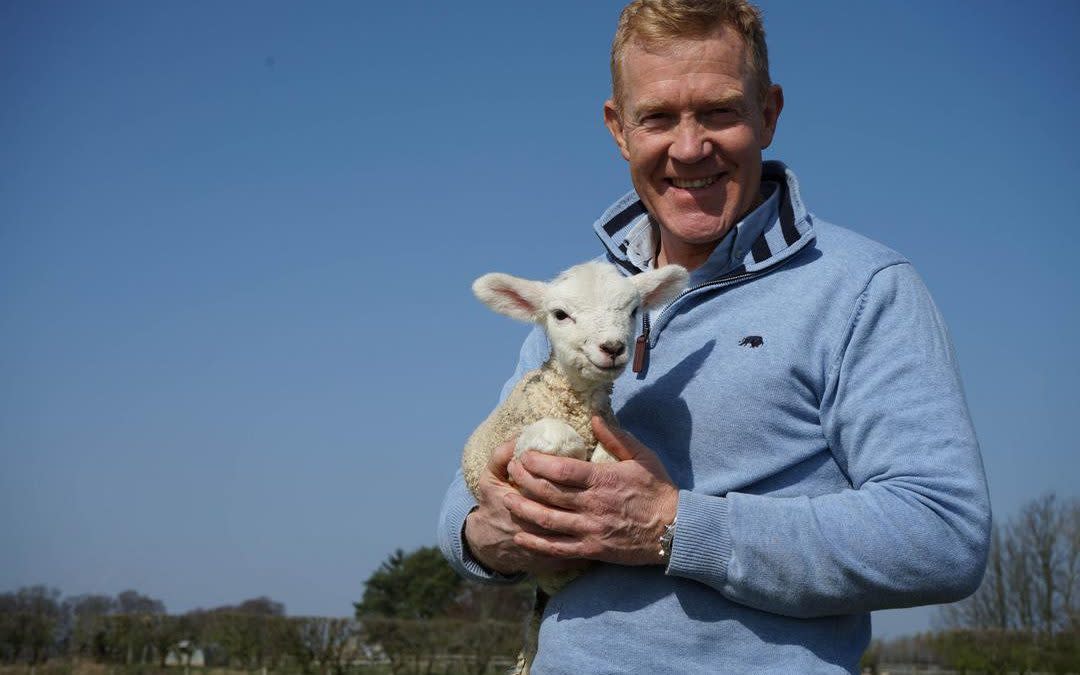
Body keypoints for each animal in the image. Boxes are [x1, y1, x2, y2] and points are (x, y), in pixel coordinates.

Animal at [462, 259, 682, 673]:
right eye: (560, 315)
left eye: (633, 311)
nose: (612, 348)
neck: (574, 407)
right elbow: (554, 440)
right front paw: (570, 448)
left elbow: (611, 454)